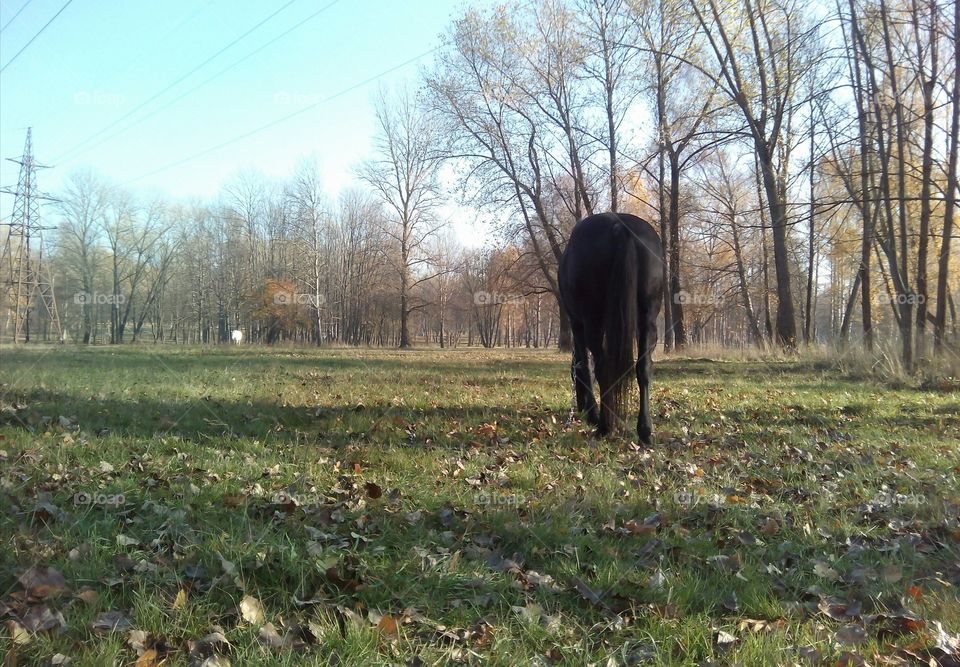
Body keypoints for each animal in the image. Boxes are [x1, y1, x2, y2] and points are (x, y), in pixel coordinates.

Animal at [560, 214, 664, 444]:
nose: (579, 408)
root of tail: (620, 226)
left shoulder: (577, 324)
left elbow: (584, 366)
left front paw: (592, 413)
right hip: (648, 318)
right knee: (643, 367)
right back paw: (645, 431)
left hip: (592, 320)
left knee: (602, 366)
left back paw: (605, 426)